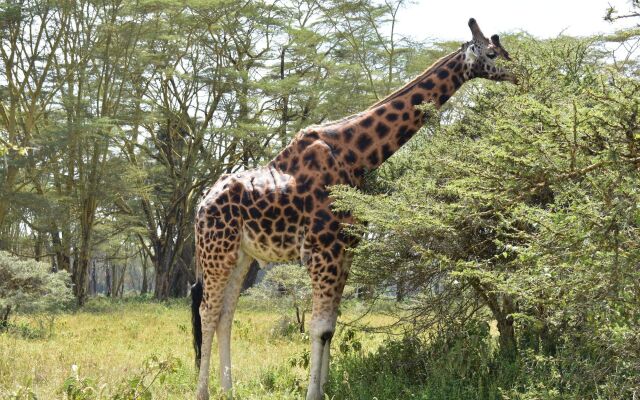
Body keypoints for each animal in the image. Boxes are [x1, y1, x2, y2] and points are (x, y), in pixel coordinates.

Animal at [190, 17, 516, 398]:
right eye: (492, 53)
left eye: (504, 50)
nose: (520, 72)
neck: (355, 155)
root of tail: (201, 202)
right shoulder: (323, 250)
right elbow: (319, 326)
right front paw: (313, 393)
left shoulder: (346, 249)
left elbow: (331, 325)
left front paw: (326, 387)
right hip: (217, 249)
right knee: (208, 311)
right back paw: (203, 392)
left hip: (241, 254)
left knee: (226, 314)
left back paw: (229, 389)